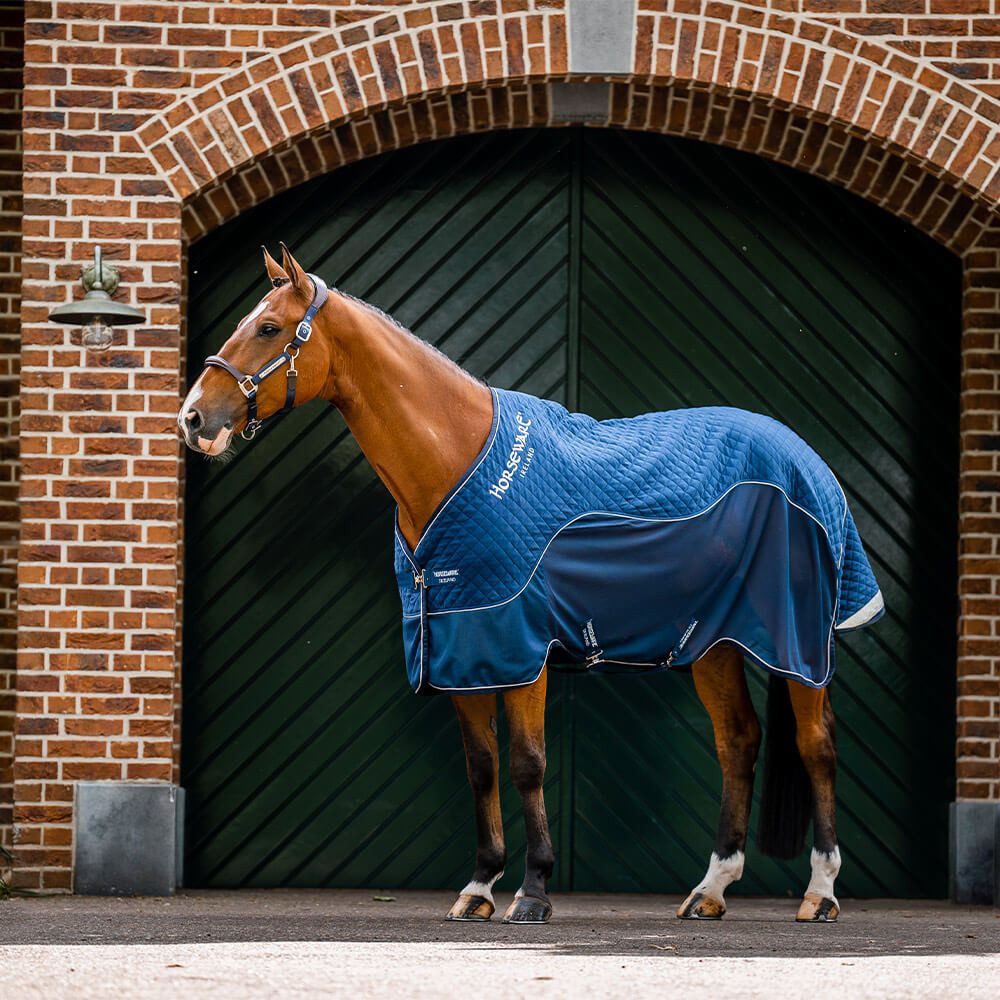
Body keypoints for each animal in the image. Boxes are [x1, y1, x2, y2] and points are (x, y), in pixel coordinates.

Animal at [178, 243, 883, 924]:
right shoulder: (460, 649)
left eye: (269, 328)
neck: (454, 458)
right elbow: (481, 768)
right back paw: (710, 890)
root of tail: (805, 459)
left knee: (816, 746)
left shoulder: (520, 649)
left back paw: (820, 893)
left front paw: (534, 891)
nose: (193, 419)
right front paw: (479, 886)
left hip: (797, 643)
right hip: (714, 643)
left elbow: (527, 764)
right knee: (738, 740)